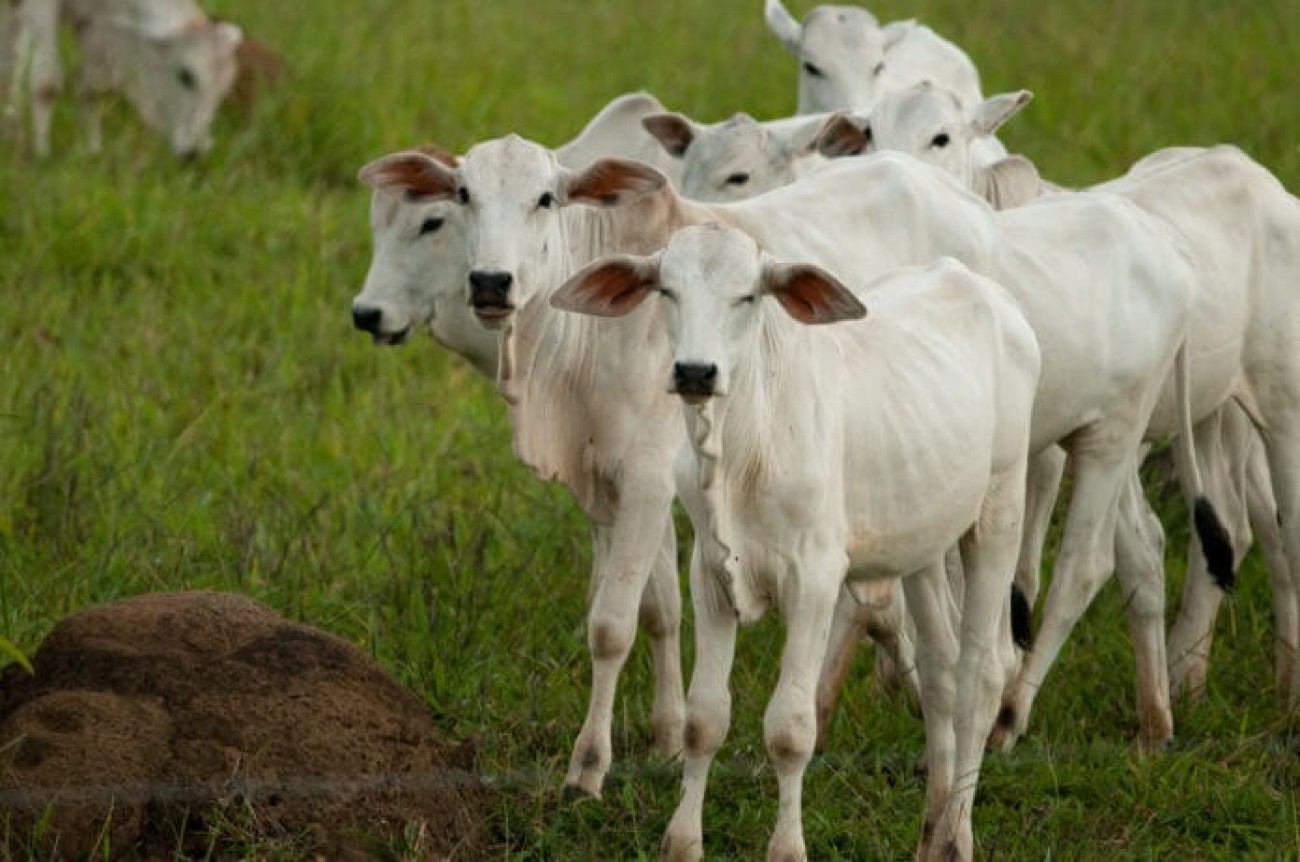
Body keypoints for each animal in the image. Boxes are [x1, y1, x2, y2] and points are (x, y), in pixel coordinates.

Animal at [6, 0, 239, 157]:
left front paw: (93, 151)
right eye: (186, 76)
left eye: (222, 91)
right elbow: (47, 84)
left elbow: (93, 92)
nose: (194, 152)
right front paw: (42, 155)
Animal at [553, 223, 1040, 862]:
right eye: (667, 290)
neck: (744, 449)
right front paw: (682, 841)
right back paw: (932, 830)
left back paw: (957, 835)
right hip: (923, 541)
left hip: (999, 510)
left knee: (981, 677)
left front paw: (786, 848)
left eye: (747, 296)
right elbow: (704, 719)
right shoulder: (710, 576)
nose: (695, 372)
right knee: (941, 672)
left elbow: (789, 729)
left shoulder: (815, 580)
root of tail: (989, 293)